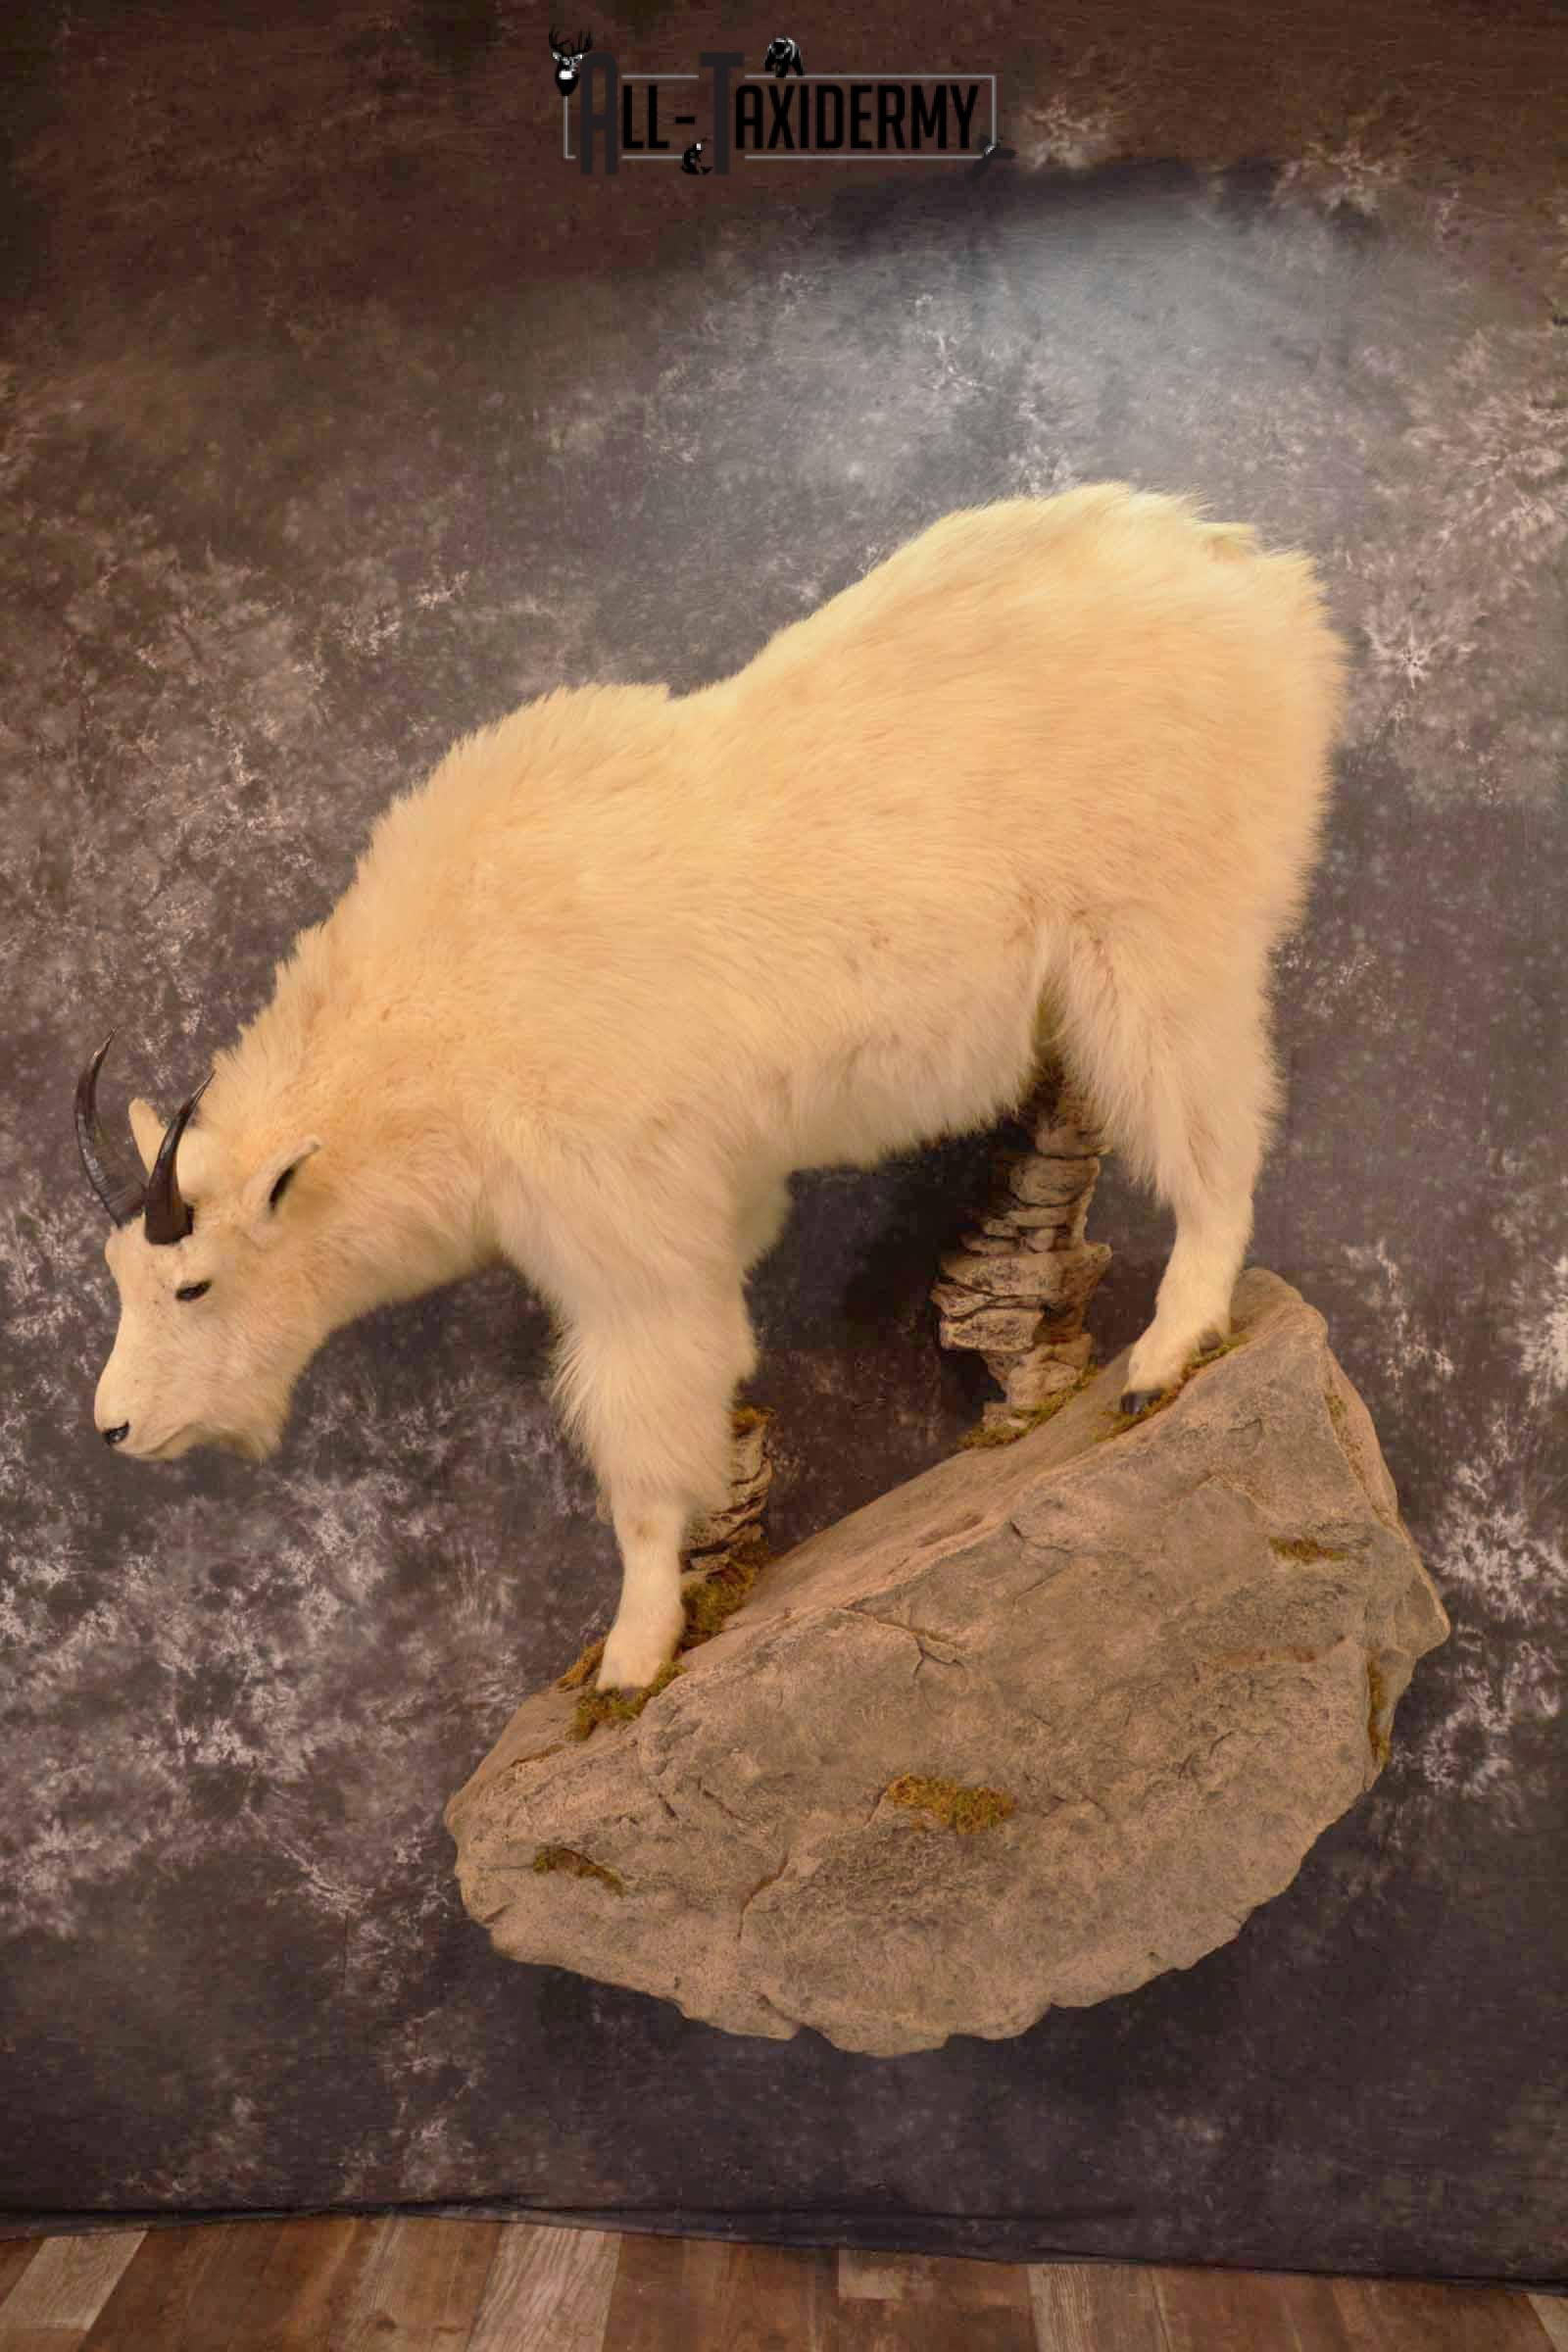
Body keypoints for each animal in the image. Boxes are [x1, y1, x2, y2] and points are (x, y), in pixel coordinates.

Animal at [78, 483, 1348, 1692]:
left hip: (1163, 940)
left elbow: (642, 1458)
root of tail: (1271, 595)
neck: (433, 1029)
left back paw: (1166, 1352)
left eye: (192, 1284)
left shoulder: (623, 1245)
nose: (115, 1427)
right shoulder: (712, 1202)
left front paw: (634, 1653)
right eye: (120, 1277)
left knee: (1213, 1141)